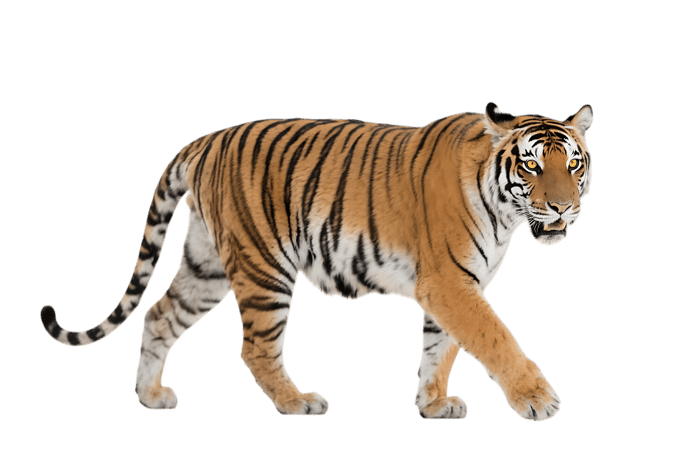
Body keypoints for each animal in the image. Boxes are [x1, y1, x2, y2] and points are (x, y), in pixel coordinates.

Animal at [40, 102, 594, 422]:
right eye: (532, 165)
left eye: (574, 163)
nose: (563, 207)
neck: (504, 212)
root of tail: (206, 140)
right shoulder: (451, 283)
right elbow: (496, 339)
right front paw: (538, 399)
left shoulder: (453, 287)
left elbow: (441, 349)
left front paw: (433, 404)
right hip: (265, 267)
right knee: (255, 348)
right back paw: (297, 402)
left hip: (207, 265)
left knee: (158, 315)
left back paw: (151, 396)